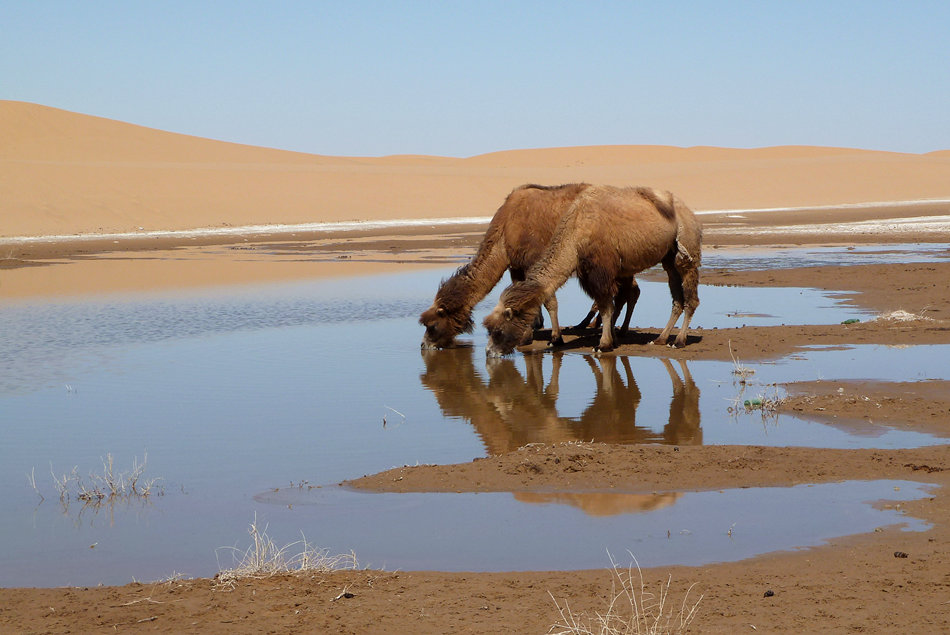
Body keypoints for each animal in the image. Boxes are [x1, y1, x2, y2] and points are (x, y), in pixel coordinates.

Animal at [422, 184, 640, 350]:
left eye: (431, 325)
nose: (424, 345)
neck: (505, 230)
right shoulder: (517, 267)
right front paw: (530, 331)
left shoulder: (534, 260)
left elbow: (549, 301)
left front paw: (555, 338)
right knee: (628, 292)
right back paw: (607, 328)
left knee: (625, 292)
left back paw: (607, 331)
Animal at [488, 185, 704, 358]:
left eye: (497, 330)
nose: (489, 352)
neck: (575, 233)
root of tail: (691, 214)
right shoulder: (590, 274)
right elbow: (607, 305)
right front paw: (612, 340)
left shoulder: (601, 271)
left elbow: (606, 306)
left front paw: (603, 345)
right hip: (669, 259)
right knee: (676, 297)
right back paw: (660, 339)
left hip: (688, 250)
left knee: (691, 297)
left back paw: (679, 341)